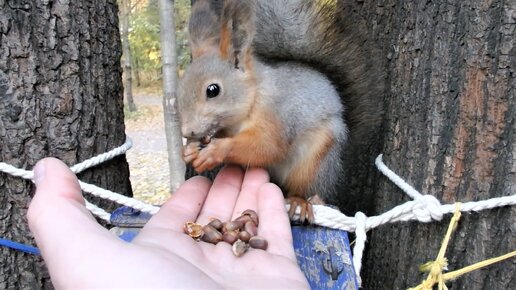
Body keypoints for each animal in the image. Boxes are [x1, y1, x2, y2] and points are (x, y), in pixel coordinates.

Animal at [177, 0, 382, 224]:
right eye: (181, 88)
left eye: (213, 90)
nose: (187, 132)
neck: (254, 96)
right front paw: (189, 151)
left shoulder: (278, 116)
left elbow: (267, 146)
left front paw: (216, 151)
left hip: (315, 162)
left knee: (306, 188)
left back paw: (300, 200)